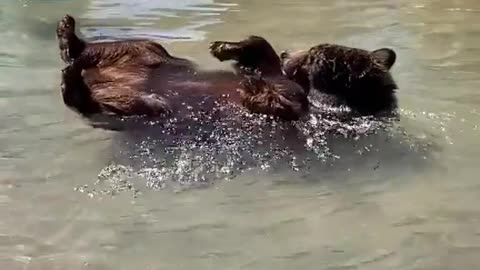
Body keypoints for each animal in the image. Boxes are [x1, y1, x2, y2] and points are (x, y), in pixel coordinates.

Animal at [56, 13, 310, 121]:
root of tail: (97, 77)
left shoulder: (285, 91)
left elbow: (281, 103)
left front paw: (256, 89)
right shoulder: (276, 77)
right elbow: (259, 50)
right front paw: (223, 47)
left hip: (126, 95)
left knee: (93, 102)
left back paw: (71, 74)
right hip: (142, 51)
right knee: (100, 50)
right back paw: (68, 35)